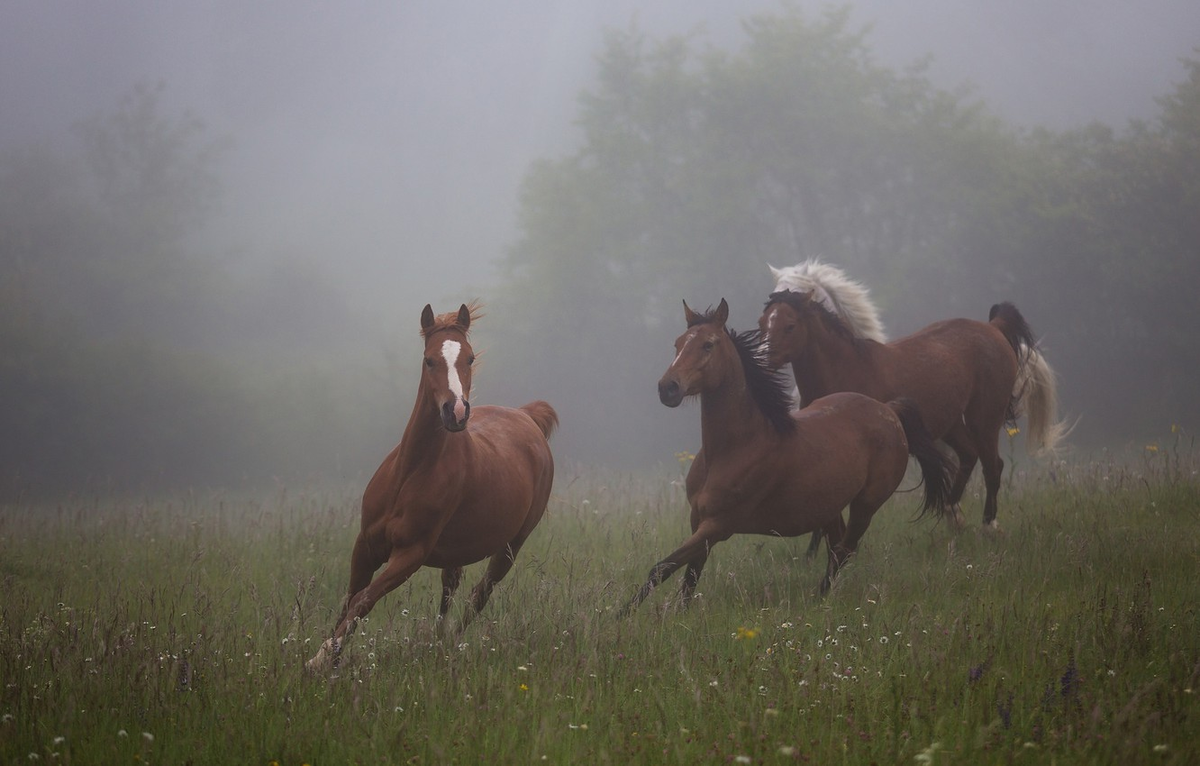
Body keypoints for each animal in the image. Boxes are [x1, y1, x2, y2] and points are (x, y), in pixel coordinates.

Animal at [307, 304, 554, 672]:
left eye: (469, 358)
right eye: (429, 360)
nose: (457, 411)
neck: (410, 473)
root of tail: (527, 416)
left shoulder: (411, 554)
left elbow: (364, 601)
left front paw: (322, 656)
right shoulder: (365, 545)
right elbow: (349, 598)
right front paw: (326, 656)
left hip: (512, 544)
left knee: (479, 595)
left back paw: (450, 644)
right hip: (458, 550)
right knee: (450, 590)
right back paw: (436, 643)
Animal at [624, 297, 950, 614]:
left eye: (708, 344)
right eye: (678, 343)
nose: (667, 388)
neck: (736, 447)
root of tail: (889, 410)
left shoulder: (718, 526)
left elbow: (661, 567)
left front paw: (622, 615)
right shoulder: (698, 521)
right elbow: (688, 579)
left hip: (866, 504)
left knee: (845, 549)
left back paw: (818, 598)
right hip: (828, 506)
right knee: (836, 545)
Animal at [758, 259, 1070, 533]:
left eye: (790, 325)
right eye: (763, 321)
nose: (760, 360)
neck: (847, 368)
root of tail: (993, 328)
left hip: (984, 418)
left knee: (993, 466)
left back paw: (988, 525)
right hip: (950, 423)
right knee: (968, 457)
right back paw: (952, 513)